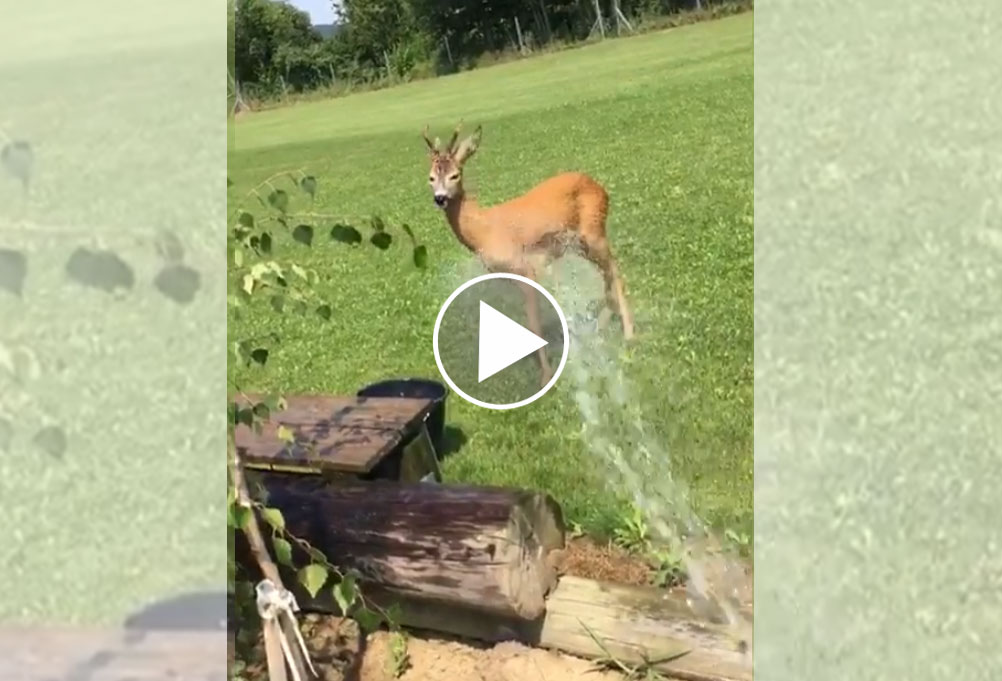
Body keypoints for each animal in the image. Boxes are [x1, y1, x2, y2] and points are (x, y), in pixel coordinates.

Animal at [422, 122, 633, 386]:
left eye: (455, 175)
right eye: (431, 178)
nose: (440, 198)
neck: (483, 229)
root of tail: (602, 189)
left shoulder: (526, 267)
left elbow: (533, 322)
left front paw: (546, 377)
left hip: (593, 231)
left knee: (614, 267)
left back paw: (629, 333)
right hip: (579, 242)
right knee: (607, 269)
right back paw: (604, 323)